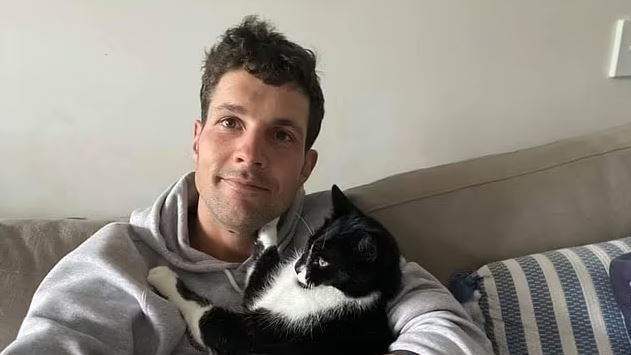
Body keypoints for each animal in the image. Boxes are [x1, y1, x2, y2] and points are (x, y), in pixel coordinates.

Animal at [148, 186, 402, 355]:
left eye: (323, 262)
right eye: (310, 243)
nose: (298, 267)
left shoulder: (262, 337)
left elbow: (206, 315)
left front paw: (162, 276)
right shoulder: (262, 291)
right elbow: (260, 271)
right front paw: (271, 216)